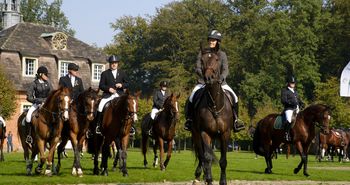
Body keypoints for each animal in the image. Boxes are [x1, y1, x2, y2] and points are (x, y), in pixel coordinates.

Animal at [190, 48, 234, 185]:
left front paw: (223, 181)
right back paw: (199, 176)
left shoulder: (225, 133)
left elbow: (223, 160)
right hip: (196, 134)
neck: (214, 103)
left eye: (217, 59)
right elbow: (207, 158)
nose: (208, 78)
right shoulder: (205, 132)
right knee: (201, 155)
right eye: (202, 60)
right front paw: (209, 179)